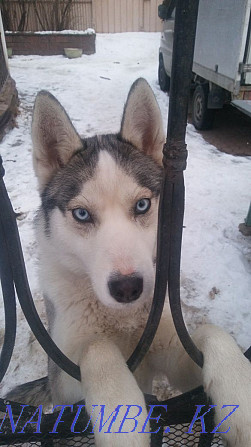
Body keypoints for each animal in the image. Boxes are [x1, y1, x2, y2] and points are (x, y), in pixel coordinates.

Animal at [13, 79, 251, 447]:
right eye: (82, 214)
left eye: (141, 205)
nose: (128, 287)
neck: (121, 321)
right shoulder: (64, 381)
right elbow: (97, 347)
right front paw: (120, 415)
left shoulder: (176, 358)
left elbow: (212, 333)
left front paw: (241, 395)